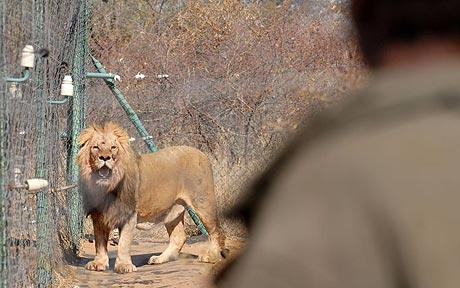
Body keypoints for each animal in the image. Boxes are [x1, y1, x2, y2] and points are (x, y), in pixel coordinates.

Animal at [77, 122, 226, 274]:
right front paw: (98, 263)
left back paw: (211, 257)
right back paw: (160, 259)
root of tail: (202, 153)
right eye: (96, 147)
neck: (106, 186)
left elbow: (123, 242)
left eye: (113, 147)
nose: (105, 158)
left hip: (203, 202)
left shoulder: (129, 214)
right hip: (173, 211)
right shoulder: (98, 215)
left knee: (216, 230)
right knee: (179, 237)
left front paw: (124, 266)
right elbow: (100, 242)